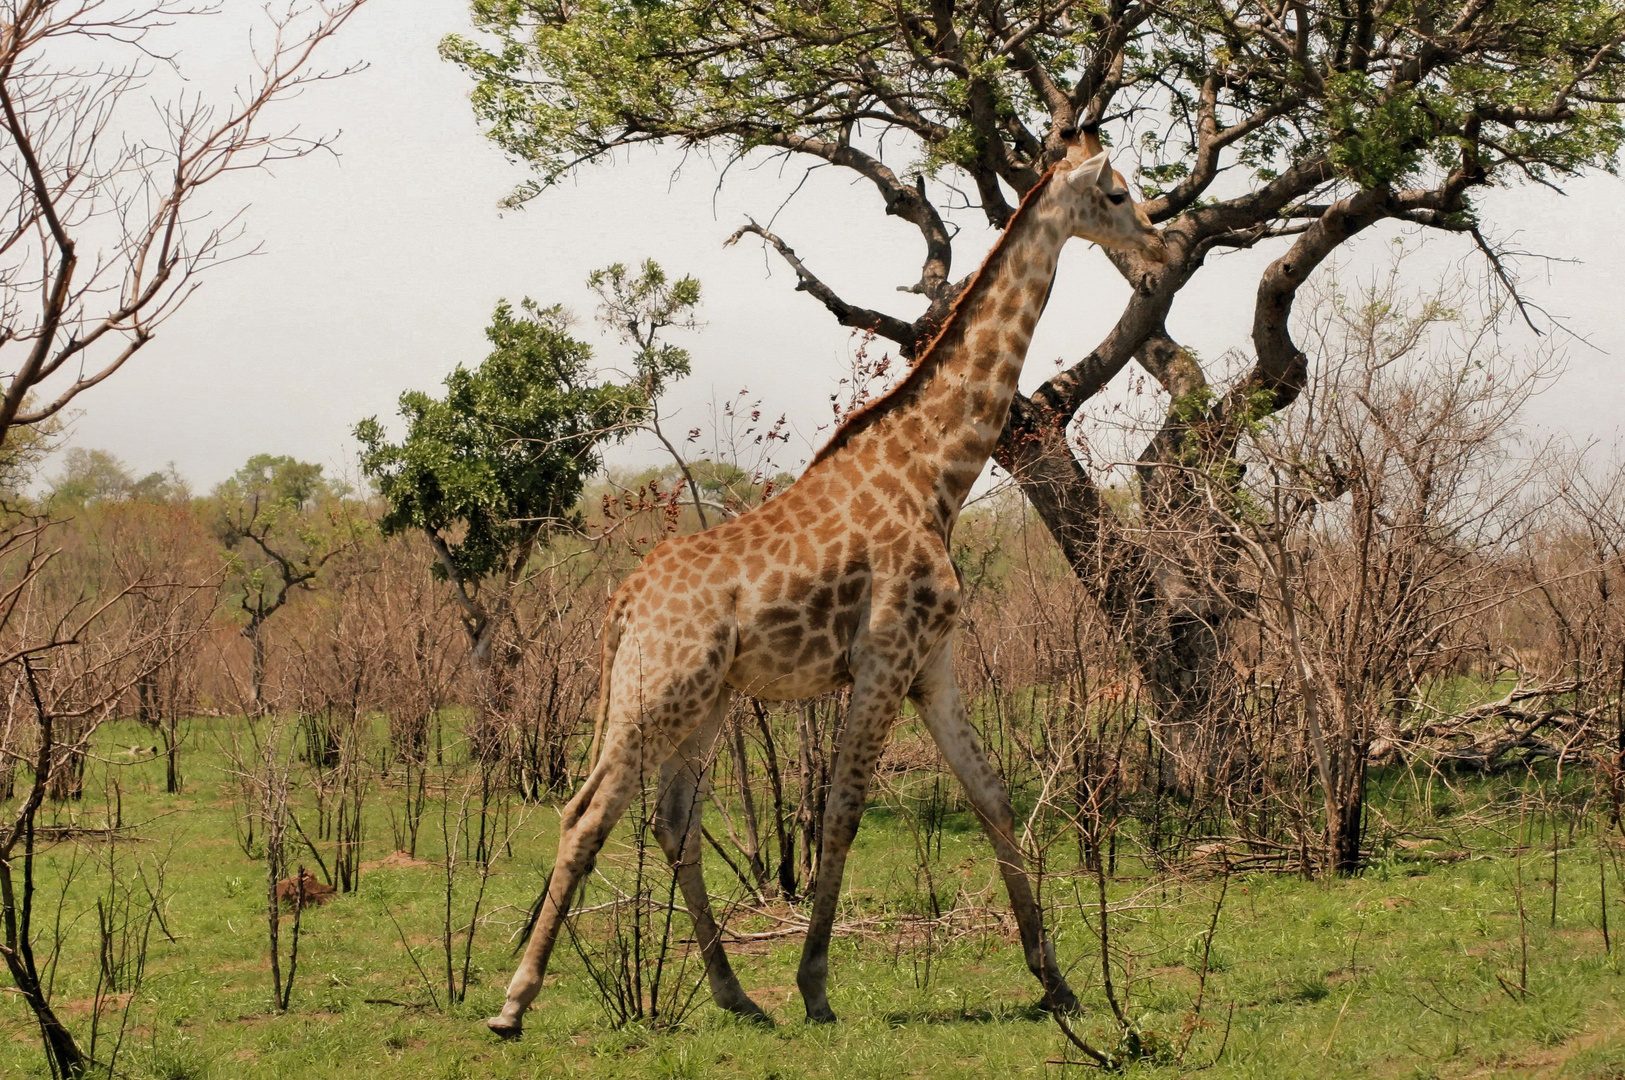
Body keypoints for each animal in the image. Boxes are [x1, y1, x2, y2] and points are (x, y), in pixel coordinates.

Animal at [487, 128, 1163, 1039]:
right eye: (1118, 194)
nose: (1159, 248)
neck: (936, 475)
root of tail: (622, 605)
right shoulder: (881, 658)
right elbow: (839, 809)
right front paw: (813, 984)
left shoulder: (930, 663)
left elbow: (989, 797)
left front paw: (1054, 981)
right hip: (656, 690)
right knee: (587, 811)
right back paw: (515, 1002)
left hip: (705, 697)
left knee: (672, 820)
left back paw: (735, 995)